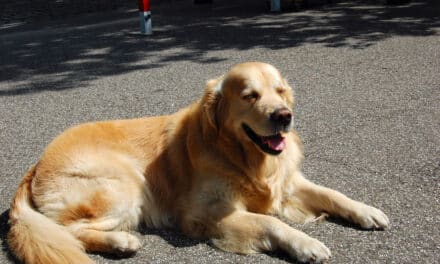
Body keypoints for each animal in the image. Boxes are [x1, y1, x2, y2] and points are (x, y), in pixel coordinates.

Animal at [7, 62, 388, 264]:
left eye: (280, 91)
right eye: (250, 96)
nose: (284, 117)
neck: (242, 156)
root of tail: (37, 164)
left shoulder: (287, 181)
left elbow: (332, 193)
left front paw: (366, 211)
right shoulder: (203, 212)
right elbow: (270, 223)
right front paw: (306, 244)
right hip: (126, 184)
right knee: (66, 230)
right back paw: (121, 242)